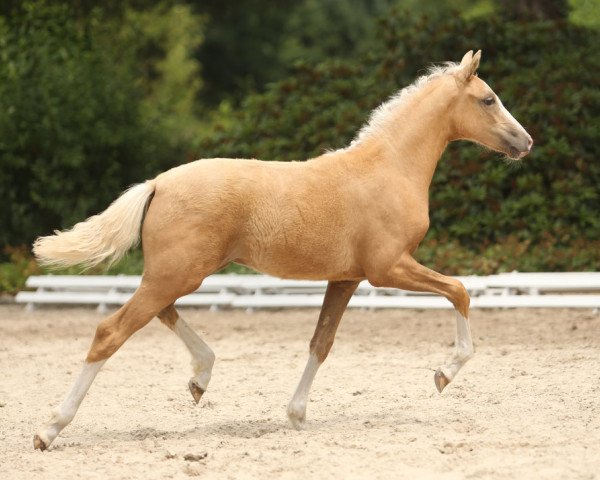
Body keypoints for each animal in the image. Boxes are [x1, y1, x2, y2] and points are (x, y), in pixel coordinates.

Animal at [32, 49, 532, 450]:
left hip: (173, 274)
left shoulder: (346, 278)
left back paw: (200, 378)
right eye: (488, 99)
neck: (389, 168)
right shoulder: (388, 268)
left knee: (160, 314)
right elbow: (459, 290)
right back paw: (50, 430)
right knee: (111, 331)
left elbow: (321, 343)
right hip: (177, 274)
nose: (525, 142)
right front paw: (444, 373)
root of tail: (158, 183)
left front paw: (296, 416)